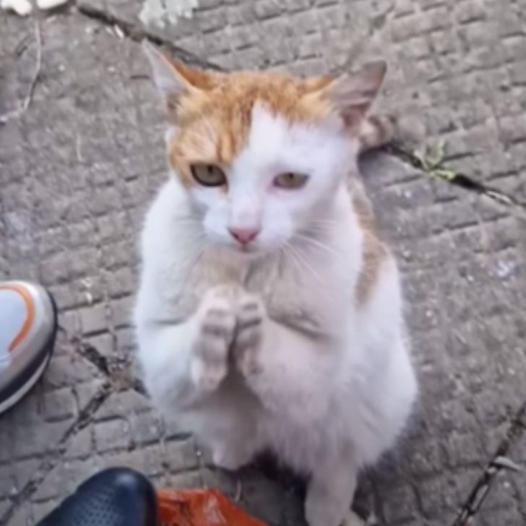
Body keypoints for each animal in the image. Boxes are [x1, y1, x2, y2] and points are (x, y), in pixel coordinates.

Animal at [137, 42, 420, 526]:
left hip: (381, 396)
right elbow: (177, 354)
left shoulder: (322, 367)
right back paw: (232, 449)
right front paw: (217, 313)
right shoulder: (157, 352)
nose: (243, 230)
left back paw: (329, 506)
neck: (246, 270)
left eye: (289, 179)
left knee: (340, 456)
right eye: (208, 173)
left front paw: (251, 316)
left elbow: (292, 365)